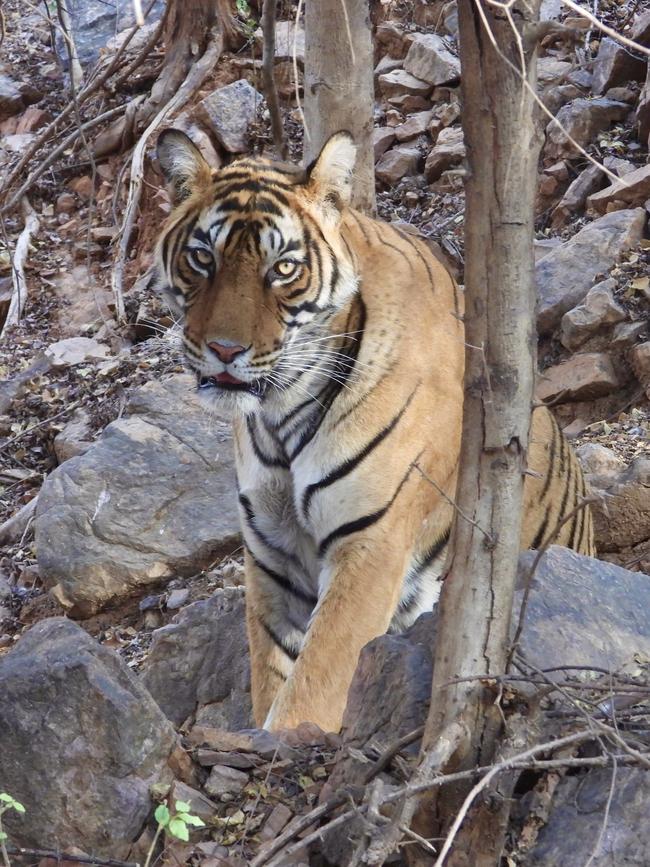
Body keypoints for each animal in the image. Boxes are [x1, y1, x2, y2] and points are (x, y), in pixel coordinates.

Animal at [152, 129, 592, 736]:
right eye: (202, 257)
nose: (224, 349)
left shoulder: (371, 543)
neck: (280, 410)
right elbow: (272, 676)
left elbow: (314, 685)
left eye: (283, 268)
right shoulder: (273, 557)